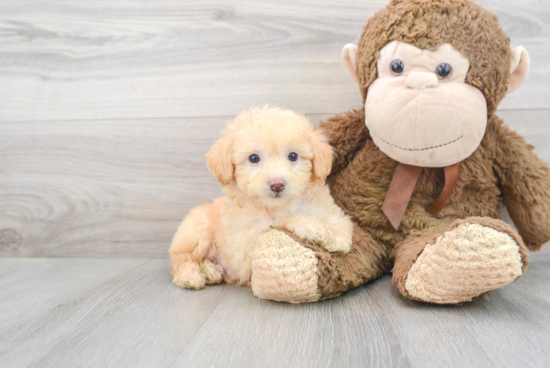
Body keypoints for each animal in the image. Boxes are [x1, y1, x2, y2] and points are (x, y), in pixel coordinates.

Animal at [170, 106, 356, 290]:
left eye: (293, 156)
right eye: (254, 158)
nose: (277, 184)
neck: (279, 206)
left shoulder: (324, 206)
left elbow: (338, 219)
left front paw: (338, 238)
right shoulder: (245, 243)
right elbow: (281, 221)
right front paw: (310, 227)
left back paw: (211, 270)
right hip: (198, 230)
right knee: (181, 258)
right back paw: (191, 275)